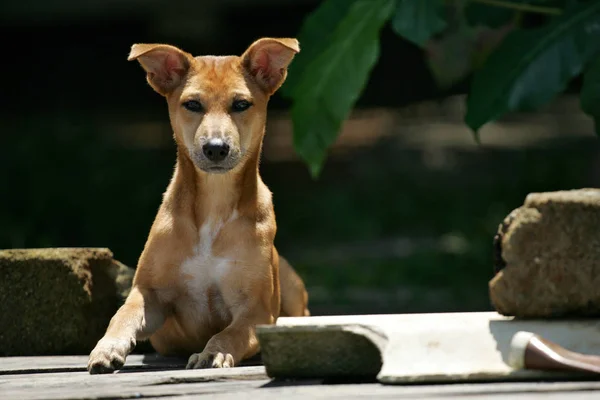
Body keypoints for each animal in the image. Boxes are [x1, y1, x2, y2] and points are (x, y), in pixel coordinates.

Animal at [88, 36, 310, 372]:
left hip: (290, 285)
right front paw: (107, 348)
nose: (216, 148)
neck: (213, 206)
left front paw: (213, 353)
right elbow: (123, 315)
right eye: (192, 104)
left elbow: (230, 332)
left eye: (241, 104)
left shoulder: (257, 310)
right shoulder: (148, 293)